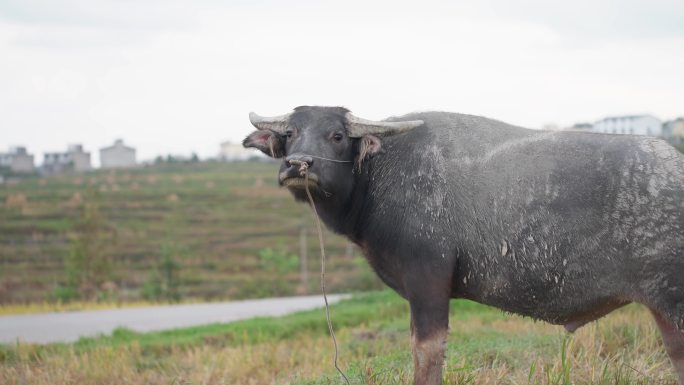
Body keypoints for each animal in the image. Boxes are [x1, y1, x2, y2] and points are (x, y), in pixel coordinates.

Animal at [244, 106, 684, 384]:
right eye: (290, 134)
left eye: (336, 135)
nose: (298, 165)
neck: (379, 175)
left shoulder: (429, 284)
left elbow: (427, 354)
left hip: (672, 303)